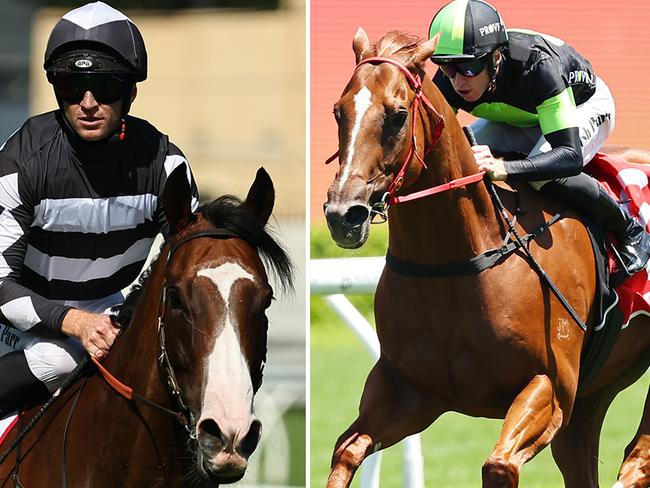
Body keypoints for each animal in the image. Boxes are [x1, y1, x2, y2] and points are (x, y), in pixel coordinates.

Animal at [324, 26, 648, 488]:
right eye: (339, 111)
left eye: (398, 115)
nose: (342, 215)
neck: (458, 260)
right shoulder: (409, 388)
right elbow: (346, 451)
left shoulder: (550, 385)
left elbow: (499, 464)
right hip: (596, 388)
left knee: (637, 460)